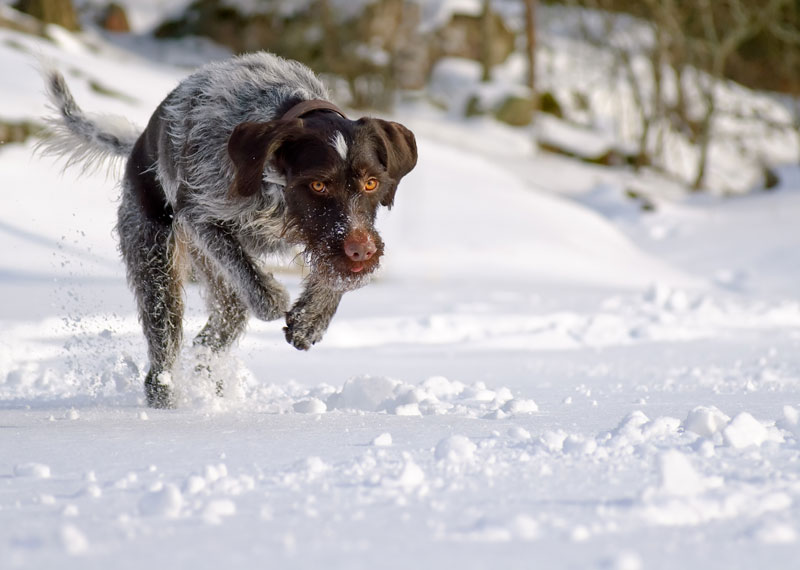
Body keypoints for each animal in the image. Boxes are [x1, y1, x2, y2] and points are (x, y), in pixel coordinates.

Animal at [41, 51, 418, 406]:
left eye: (371, 183)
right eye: (318, 185)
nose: (362, 250)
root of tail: (138, 145)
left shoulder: (340, 238)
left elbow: (334, 271)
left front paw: (312, 318)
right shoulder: (200, 215)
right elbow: (255, 283)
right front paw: (277, 300)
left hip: (213, 282)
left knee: (213, 334)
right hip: (157, 264)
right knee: (165, 348)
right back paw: (166, 400)